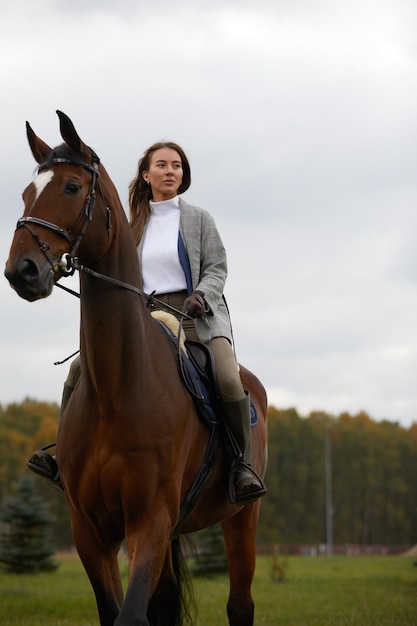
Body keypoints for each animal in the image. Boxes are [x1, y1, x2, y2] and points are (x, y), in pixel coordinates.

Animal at [4, 112, 268, 624]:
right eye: (26, 193)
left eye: (70, 187)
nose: (20, 271)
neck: (119, 389)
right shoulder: (90, 531)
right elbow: (117, 612)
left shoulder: (150, 521)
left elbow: (131, 615)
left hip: (240, 518)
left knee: (240, 604)